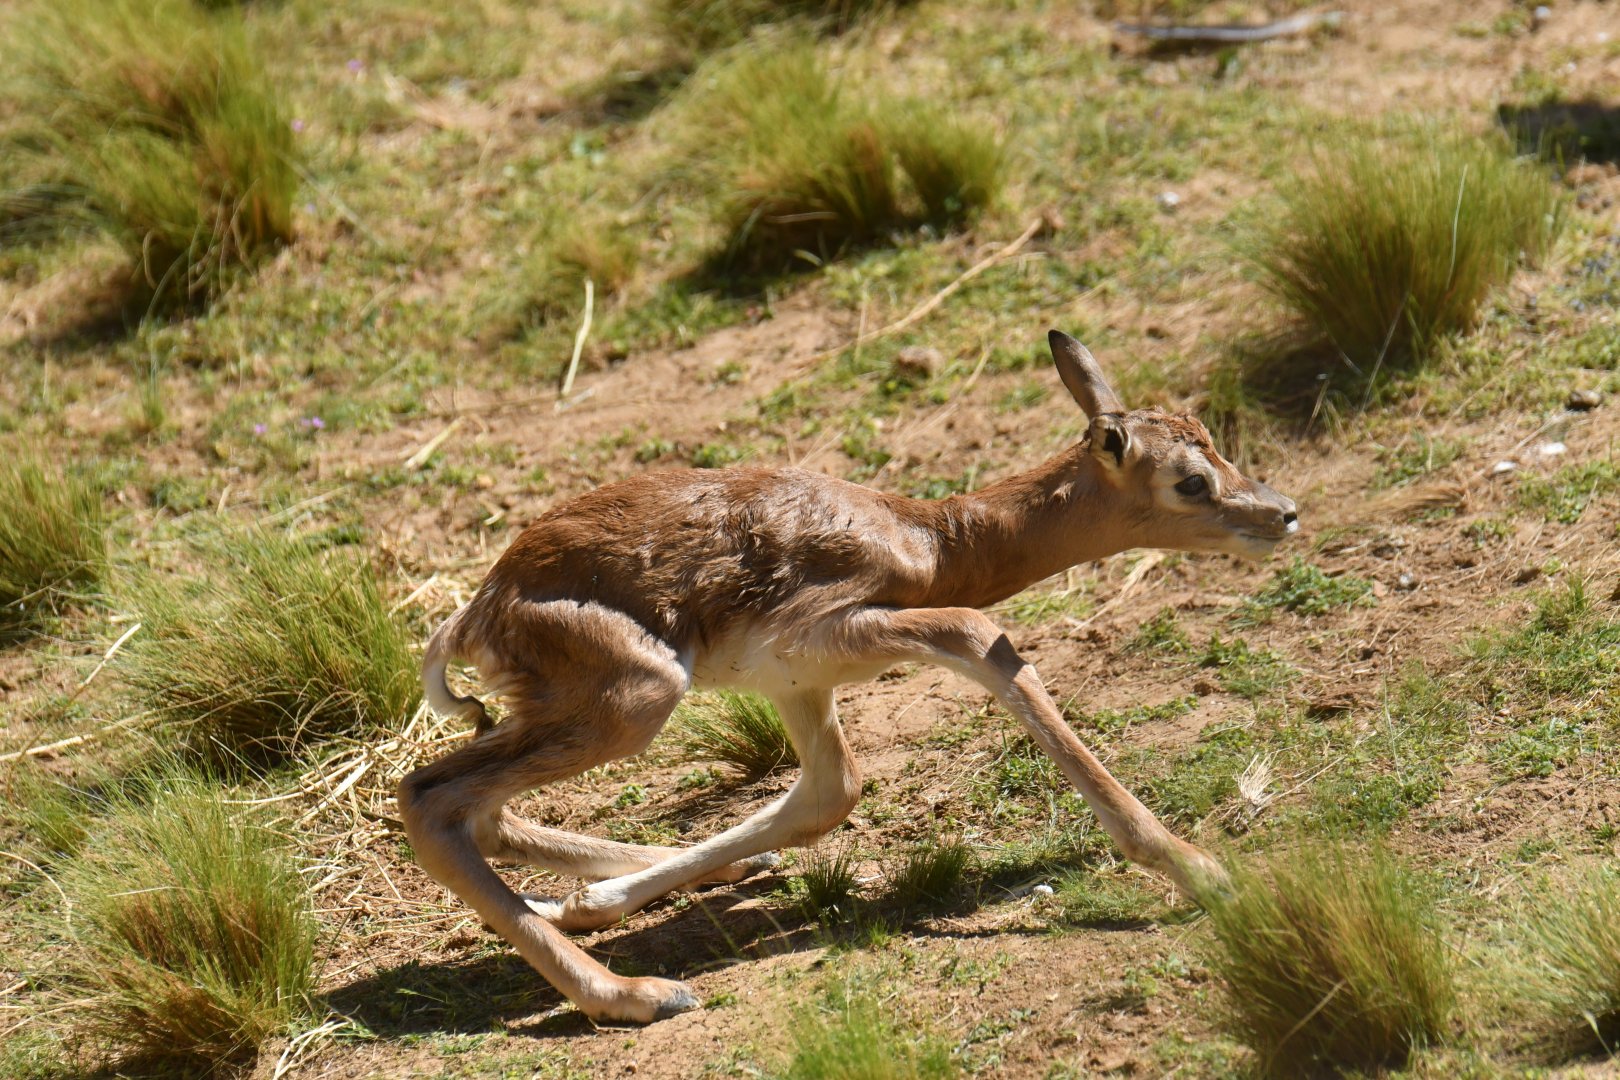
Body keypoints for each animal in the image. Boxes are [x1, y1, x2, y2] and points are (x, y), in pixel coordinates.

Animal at [399, 330, 1299, 1024]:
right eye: (1191, 480)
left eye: (1212, 440)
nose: (1281, 513)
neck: (931, 538)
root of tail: (480, 610)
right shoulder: (851, 626)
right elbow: (986, 640)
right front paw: (1203, 872)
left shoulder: (799, 684)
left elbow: (831, 795)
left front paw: (596, 902)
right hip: (636, 701)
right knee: (430, 797)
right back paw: (639, 995)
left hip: (574, 715)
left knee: (484, 813)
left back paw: (667, 889)